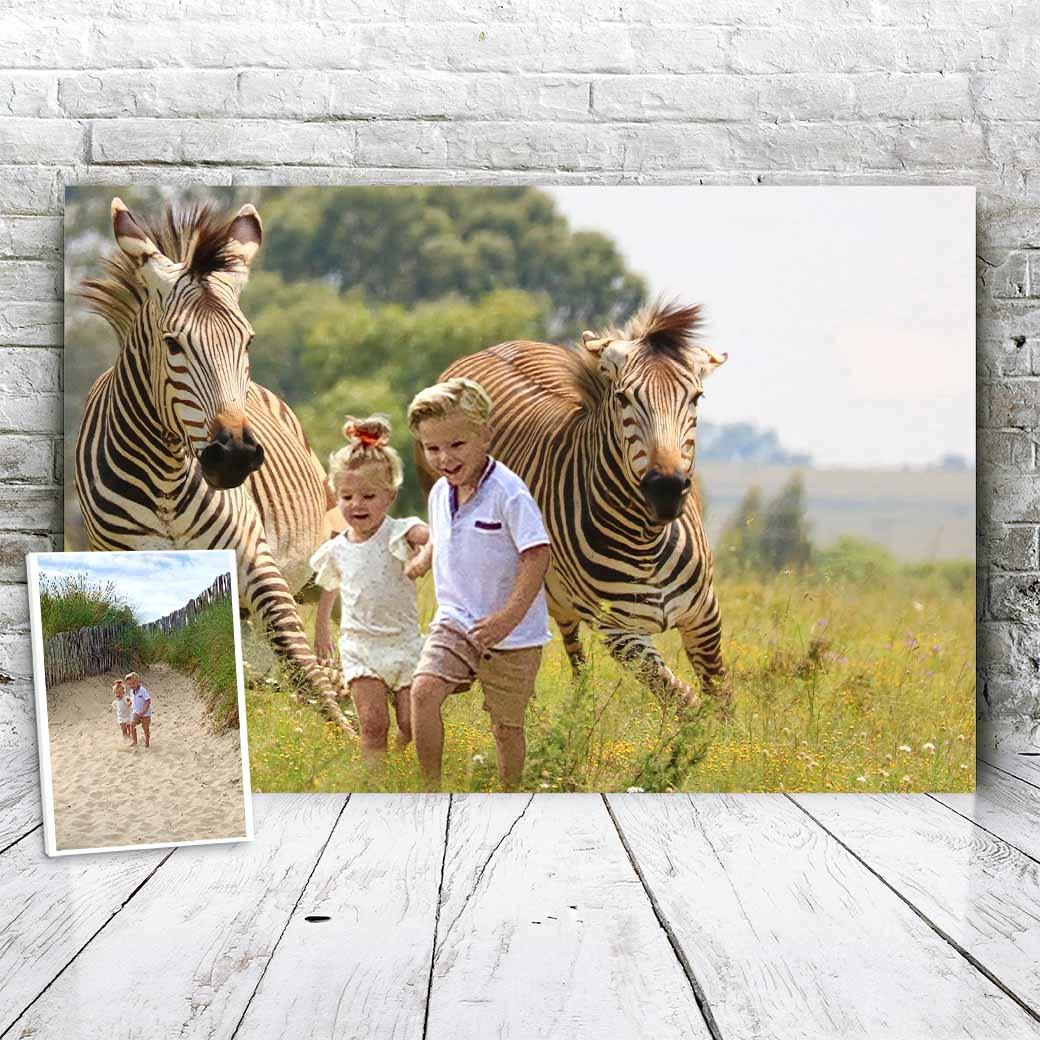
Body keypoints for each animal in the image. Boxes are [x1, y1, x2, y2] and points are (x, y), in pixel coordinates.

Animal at [75, 198, 354, 733]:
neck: (163, 477)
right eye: (172, 343)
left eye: (247, 342)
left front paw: (353, 747)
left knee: (335, 635)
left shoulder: (253, 554)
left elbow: (301, 663)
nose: (234, 456)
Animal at [434, 301, 729, 710]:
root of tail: (492, 348)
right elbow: (684, 701)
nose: (666, 490)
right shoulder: (620, 631)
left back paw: (579, 704)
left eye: (696, 398)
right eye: (623, 399)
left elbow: (720, 698)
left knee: (571, 647)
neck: (647, 541)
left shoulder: (705, 615)